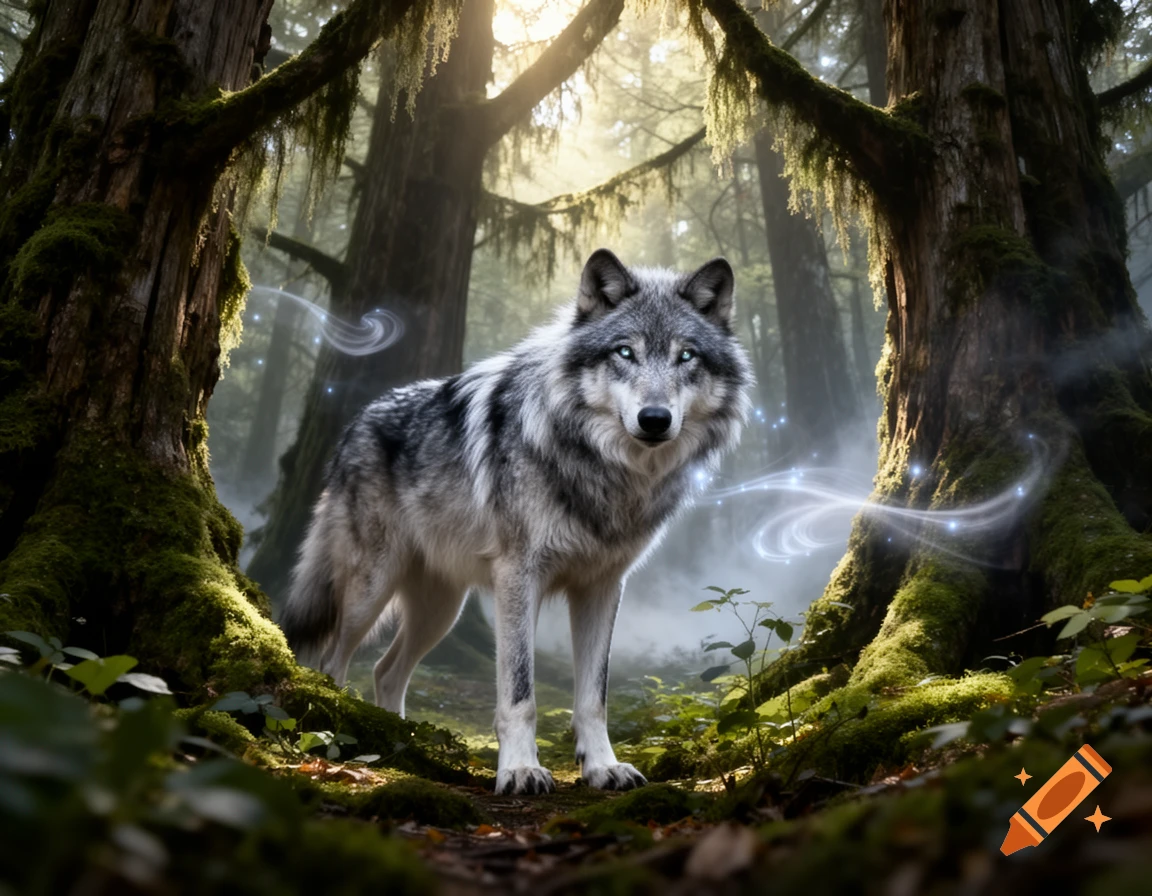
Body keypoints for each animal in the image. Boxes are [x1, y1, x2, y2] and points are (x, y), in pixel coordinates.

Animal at [280, 249, 752, 794]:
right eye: (624, 353)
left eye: (687, 356)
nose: (654, 419)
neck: (603, 472)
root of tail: (357, 421)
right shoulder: (518, 576)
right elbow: (519, 693)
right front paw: (521, 770)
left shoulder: (603, 586)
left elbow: (594, 696)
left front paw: (603, 767)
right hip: (370, 591)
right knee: (330, 663)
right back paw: (336, 737)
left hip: (441, 610)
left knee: (384, 671)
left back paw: (398, 742)